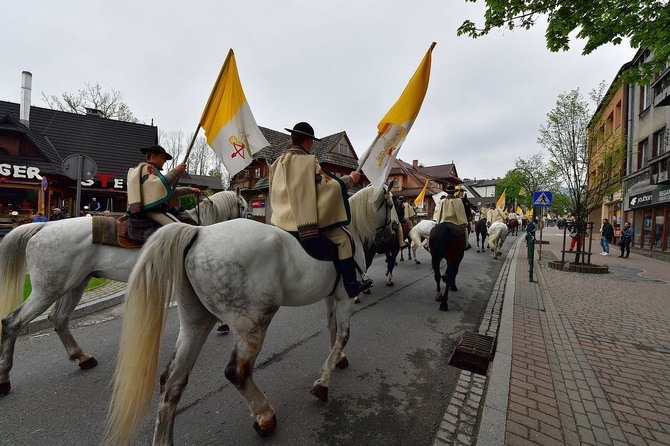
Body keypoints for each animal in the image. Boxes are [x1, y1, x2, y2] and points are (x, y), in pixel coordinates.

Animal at [0, 190, 248, 396]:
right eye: (244, 207)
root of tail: (43, 228)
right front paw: (222, 324)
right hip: (48, 290)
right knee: (12, 322)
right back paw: (4, 378)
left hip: (75, 284)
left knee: (58, 318)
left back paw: (82, 357)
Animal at [105, 185, 396, 446]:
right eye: (392, 204)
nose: (393, 231)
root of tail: (199, 232)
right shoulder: (345, 297)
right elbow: (344, 334)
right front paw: (323, 382)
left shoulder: (331, 296)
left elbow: (332, 328)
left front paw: (339, 360)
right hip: (252, 324)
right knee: (237, 372)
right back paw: (265, 416)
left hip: (196, 323)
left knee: (172, 380)